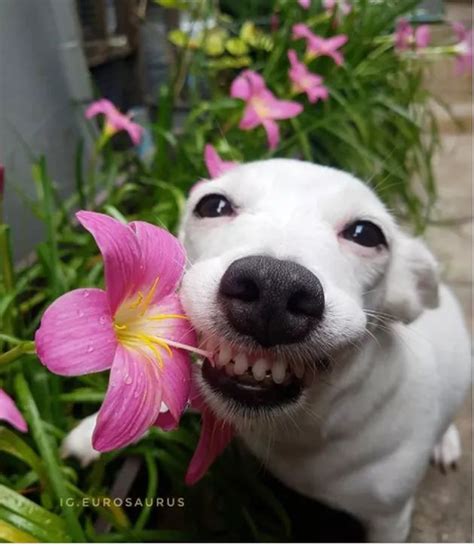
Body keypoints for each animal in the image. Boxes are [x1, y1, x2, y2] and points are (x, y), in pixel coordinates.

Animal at [63, 158, 470, 540]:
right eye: (212, 205)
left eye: (366, 234)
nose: (274, 287)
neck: (291, 428)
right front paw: (92, 434)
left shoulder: (390, 520)